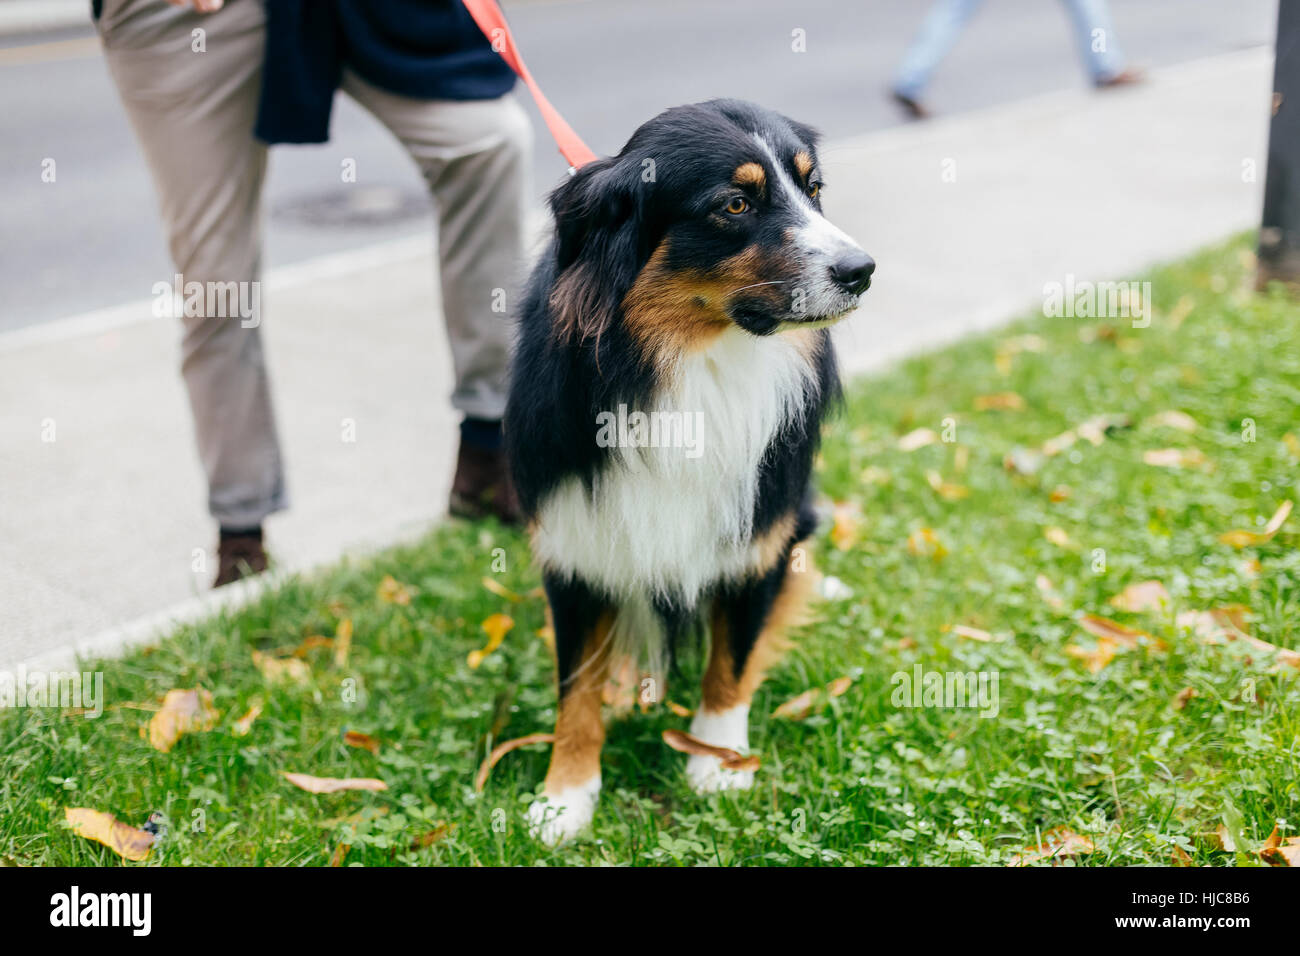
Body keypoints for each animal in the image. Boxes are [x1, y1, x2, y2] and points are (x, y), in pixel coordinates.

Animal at [504, 98, 873, 842]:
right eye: (735, 203)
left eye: (813, 189)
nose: (862, 270)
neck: (692, 362)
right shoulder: (574, 543)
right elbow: (576, 688)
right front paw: (565, 796)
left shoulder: (756, 539)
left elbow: (731, 662)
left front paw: (717, 763)